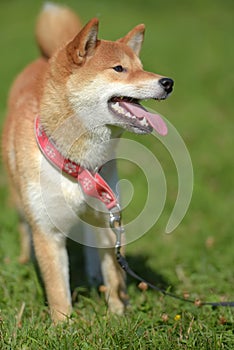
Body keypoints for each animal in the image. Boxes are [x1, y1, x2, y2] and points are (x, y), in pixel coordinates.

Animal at [1, 3, 174, 322]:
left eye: (141, 66)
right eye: (119, 69)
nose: (168, 82)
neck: (78, 164)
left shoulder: (111, 218)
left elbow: (115, 275)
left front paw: (119, 316)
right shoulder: (47, 231)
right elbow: (58, 289)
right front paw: (62, 326)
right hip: (21, 201)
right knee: (23, 229)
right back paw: (23, 260)